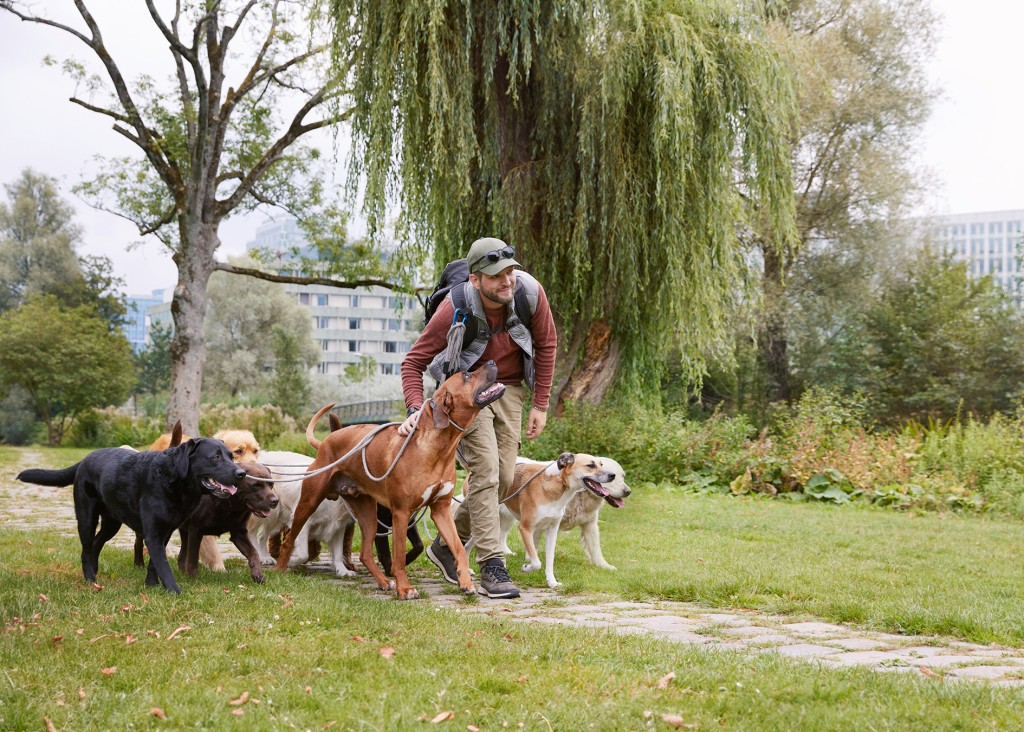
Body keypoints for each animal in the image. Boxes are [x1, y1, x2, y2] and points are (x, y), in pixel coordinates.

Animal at [18, 438, 246, 593]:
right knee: (86, 548)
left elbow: (155, 563)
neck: (173, 480)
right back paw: (90, 579)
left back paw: (95, 571)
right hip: (86, 516)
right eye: (215, 457)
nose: (241, 473)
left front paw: (151, 586)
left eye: (232, 456)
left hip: (112, 522)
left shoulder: (164, 532)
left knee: (96, 543)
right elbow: (164, 565)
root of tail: (84, 459)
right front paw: (174, 592)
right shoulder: (153, 534)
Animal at [278, 364, 505, 597]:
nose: (492, 362)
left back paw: (384, 582)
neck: (438, 448)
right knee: (288, 539)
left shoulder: (440, 510)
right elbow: (398, 558)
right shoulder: (401, 513)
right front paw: (405, 589)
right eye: (466, 375)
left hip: (368, 513)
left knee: (365, 554)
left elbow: (458, 547)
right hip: (309, 502)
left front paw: (466, 582)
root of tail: (325, 442)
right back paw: (280, 571)